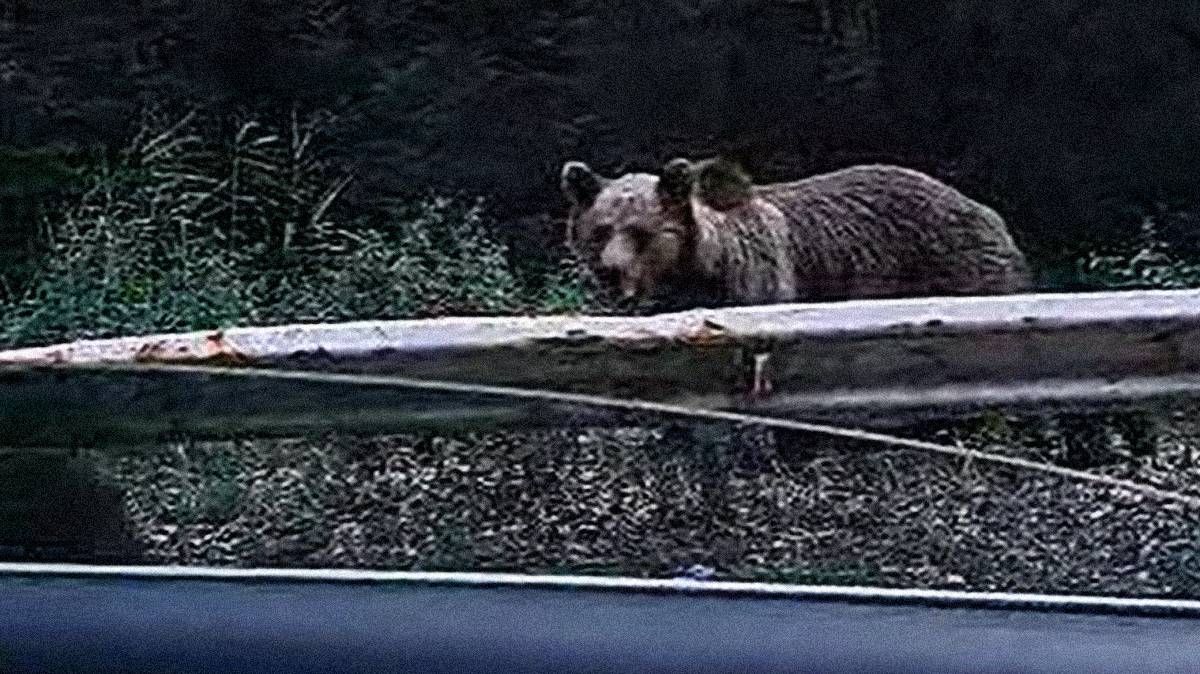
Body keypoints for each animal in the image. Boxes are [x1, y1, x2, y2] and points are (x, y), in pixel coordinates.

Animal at [559, 155, 1032, 305]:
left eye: (642, 231)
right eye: (601, 230)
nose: (610, 271)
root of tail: (985, 209)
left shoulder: (758, 282)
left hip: (955, 265)